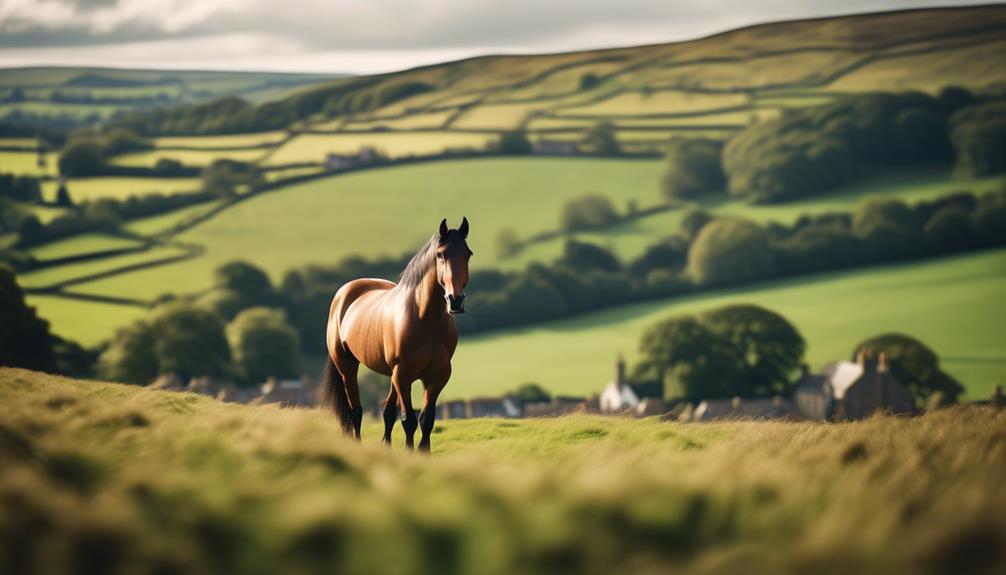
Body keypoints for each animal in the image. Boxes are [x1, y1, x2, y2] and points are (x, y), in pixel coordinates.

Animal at [325, 218, 474, 452]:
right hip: (348, 367)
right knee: (355, 411)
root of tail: (344, 292)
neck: (425, 319)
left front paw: (423, 452)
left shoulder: (437, 375)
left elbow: (426, 419)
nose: (455, 300)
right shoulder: (403, 375)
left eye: (468, 254)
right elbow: (408, 420)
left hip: (391, 374)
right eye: (440, 255)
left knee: (386, 411)